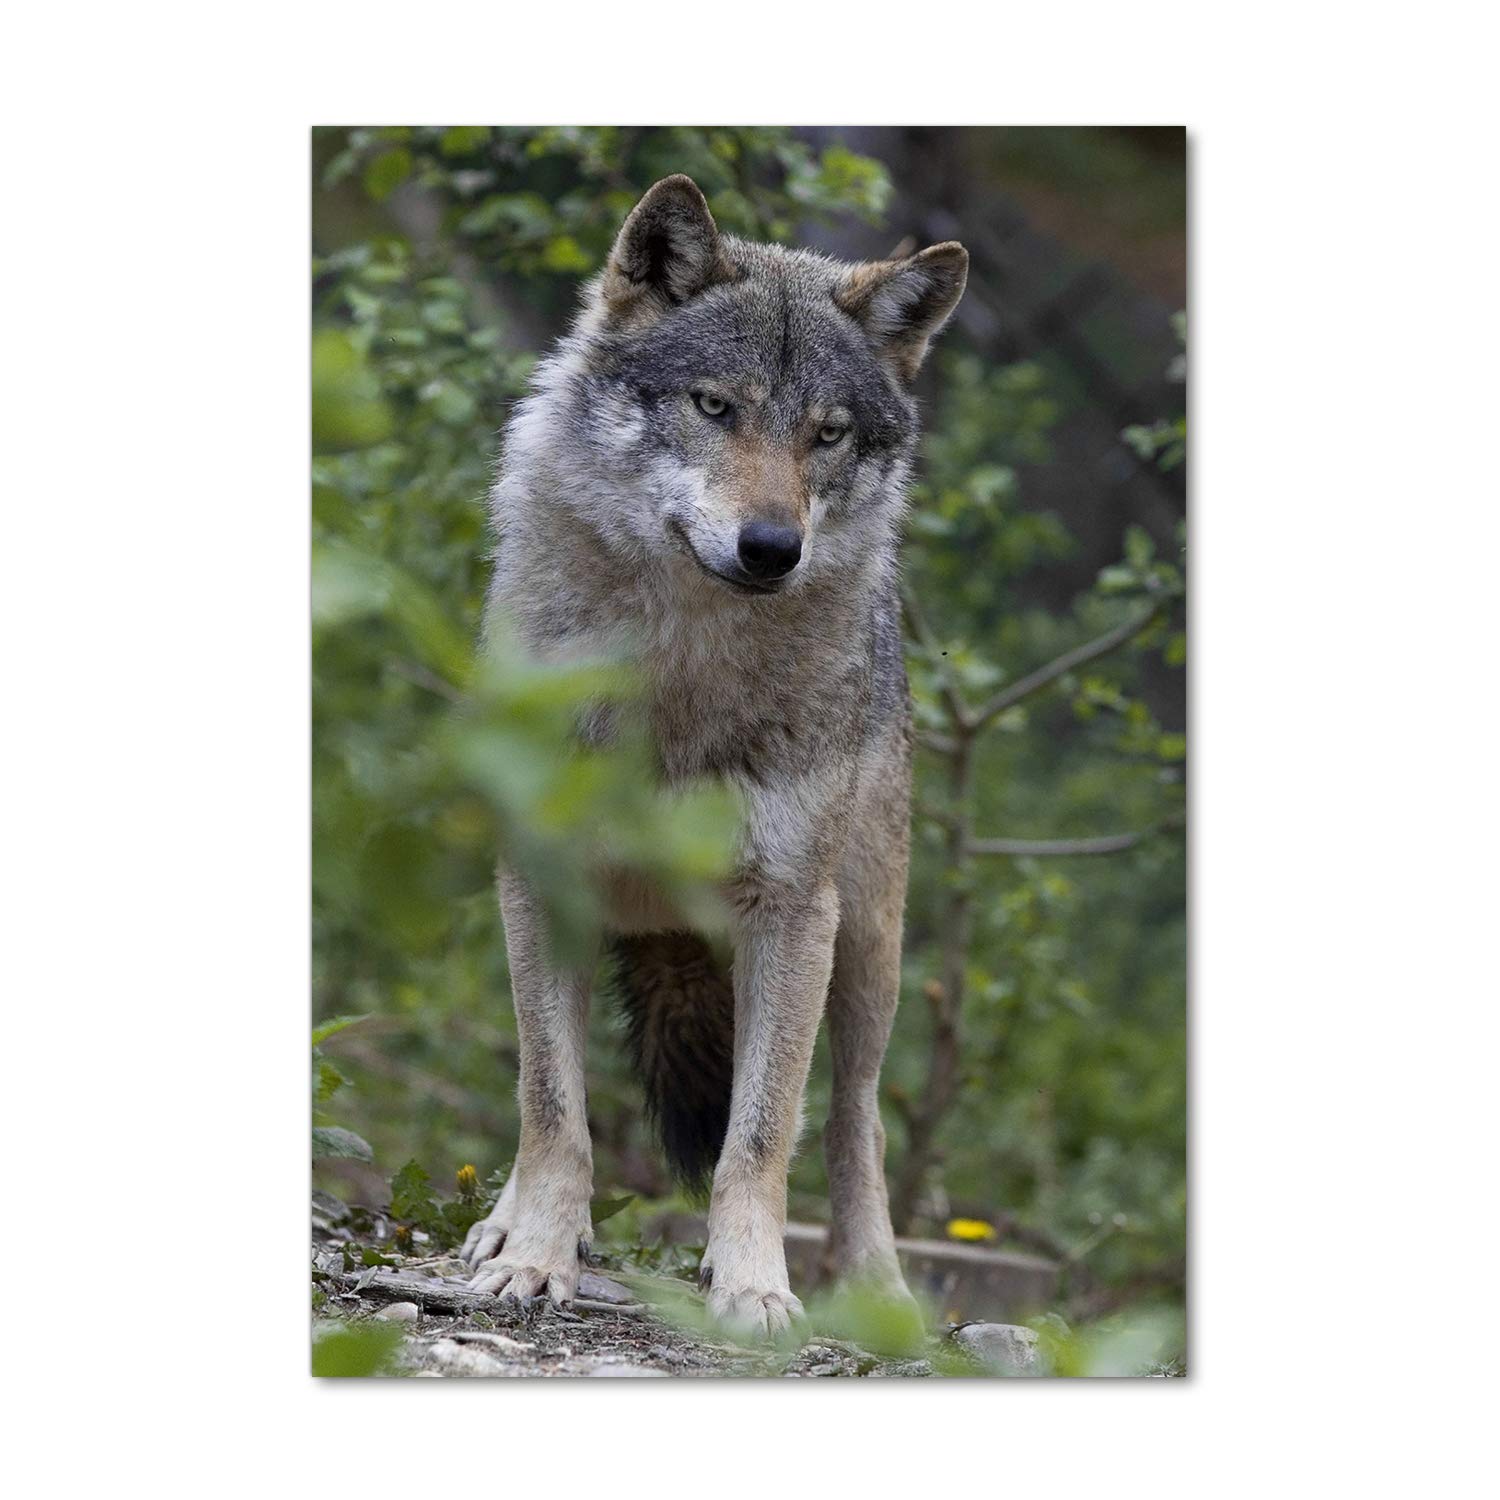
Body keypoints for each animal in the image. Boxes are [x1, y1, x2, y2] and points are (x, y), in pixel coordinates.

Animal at [459, 175, 967, 1337]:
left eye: (826, 434)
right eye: (714, 406)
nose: (772, 549)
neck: (679, 680)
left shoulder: (792, 910)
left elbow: (763, 1136)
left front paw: (753, 1289)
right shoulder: (539, 876)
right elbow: (550, 1105)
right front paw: (534, 1258)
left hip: (868, 949)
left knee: (858, 1120)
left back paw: (877, 1289)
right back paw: (503, 1229)